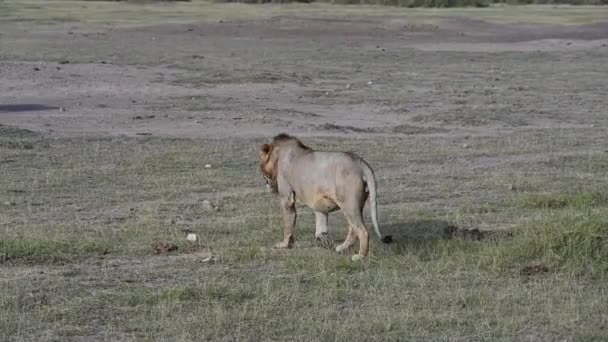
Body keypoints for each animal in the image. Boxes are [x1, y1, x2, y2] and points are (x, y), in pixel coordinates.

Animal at [258, 132, 392, 260]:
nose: (264, 181)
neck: (278, 155)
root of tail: (360, 163)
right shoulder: (319, 202)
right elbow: (321, 222)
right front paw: (322, 240)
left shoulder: (287, 197)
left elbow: (288, 224)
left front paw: (284, 244)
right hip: (356, 204)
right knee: (353, 229)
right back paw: (341, 248)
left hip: (349, 204)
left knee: (362, 230)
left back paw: (360, 256)